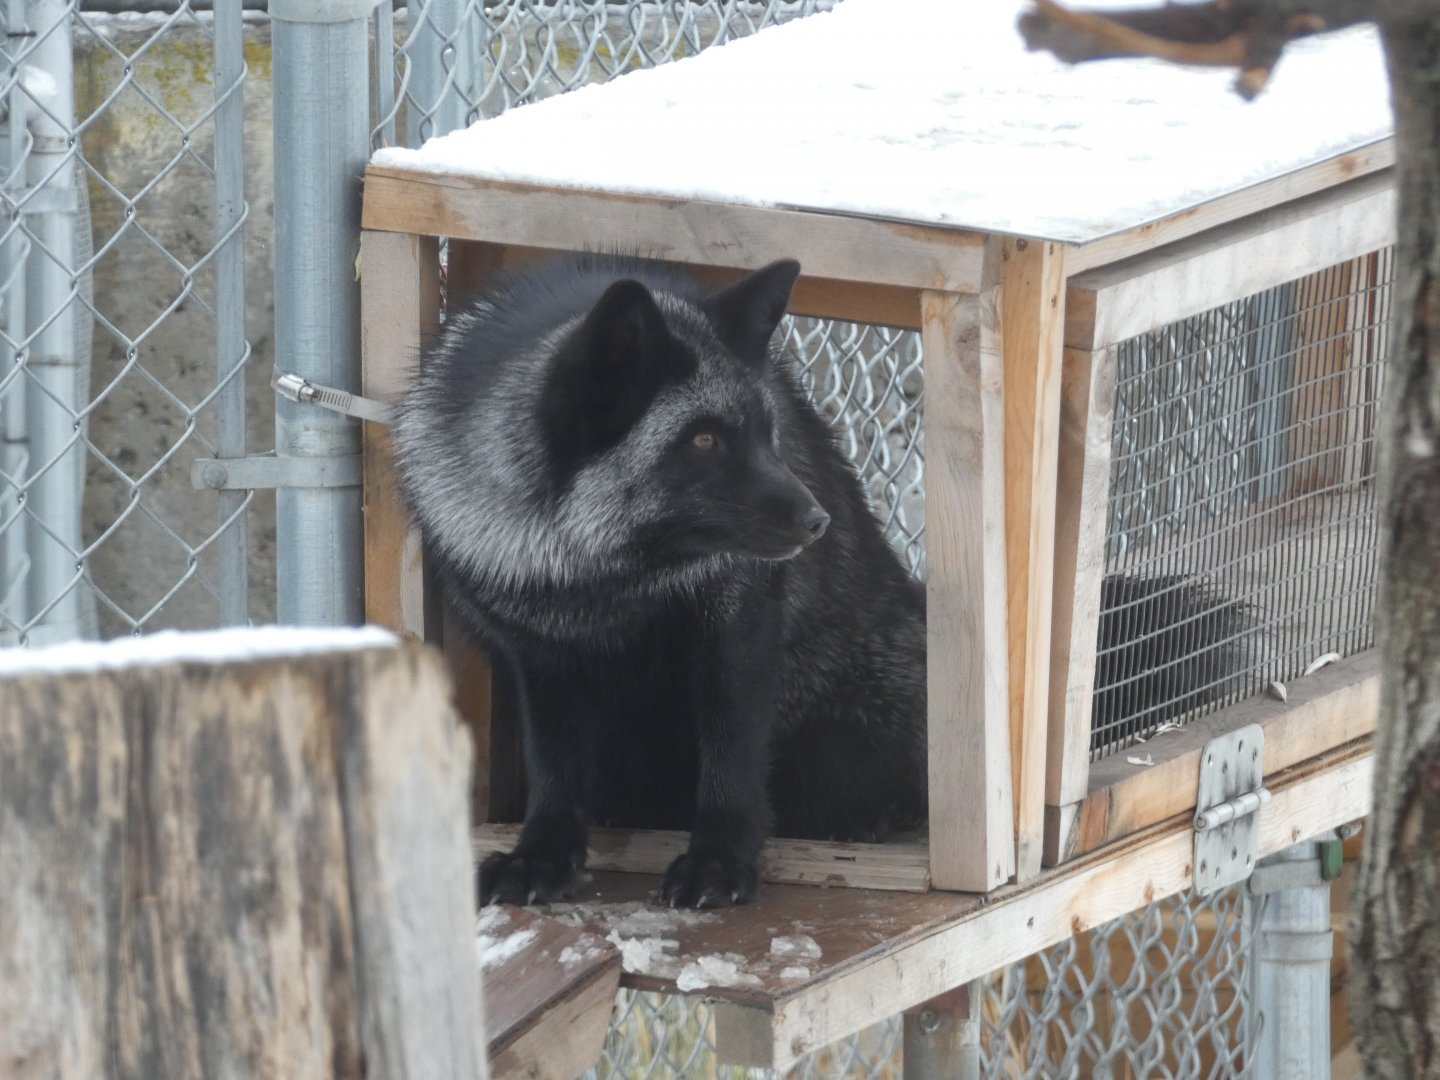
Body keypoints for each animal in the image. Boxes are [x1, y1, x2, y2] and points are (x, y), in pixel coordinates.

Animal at [391, 252, 1249, 909]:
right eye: (704, 440)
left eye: (767, 431)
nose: (817, 522)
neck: (605, 582)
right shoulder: (536, 656)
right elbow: (555, 767)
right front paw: (541, 854)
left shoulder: (737, 624)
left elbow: (733, 754)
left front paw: (721, 860)